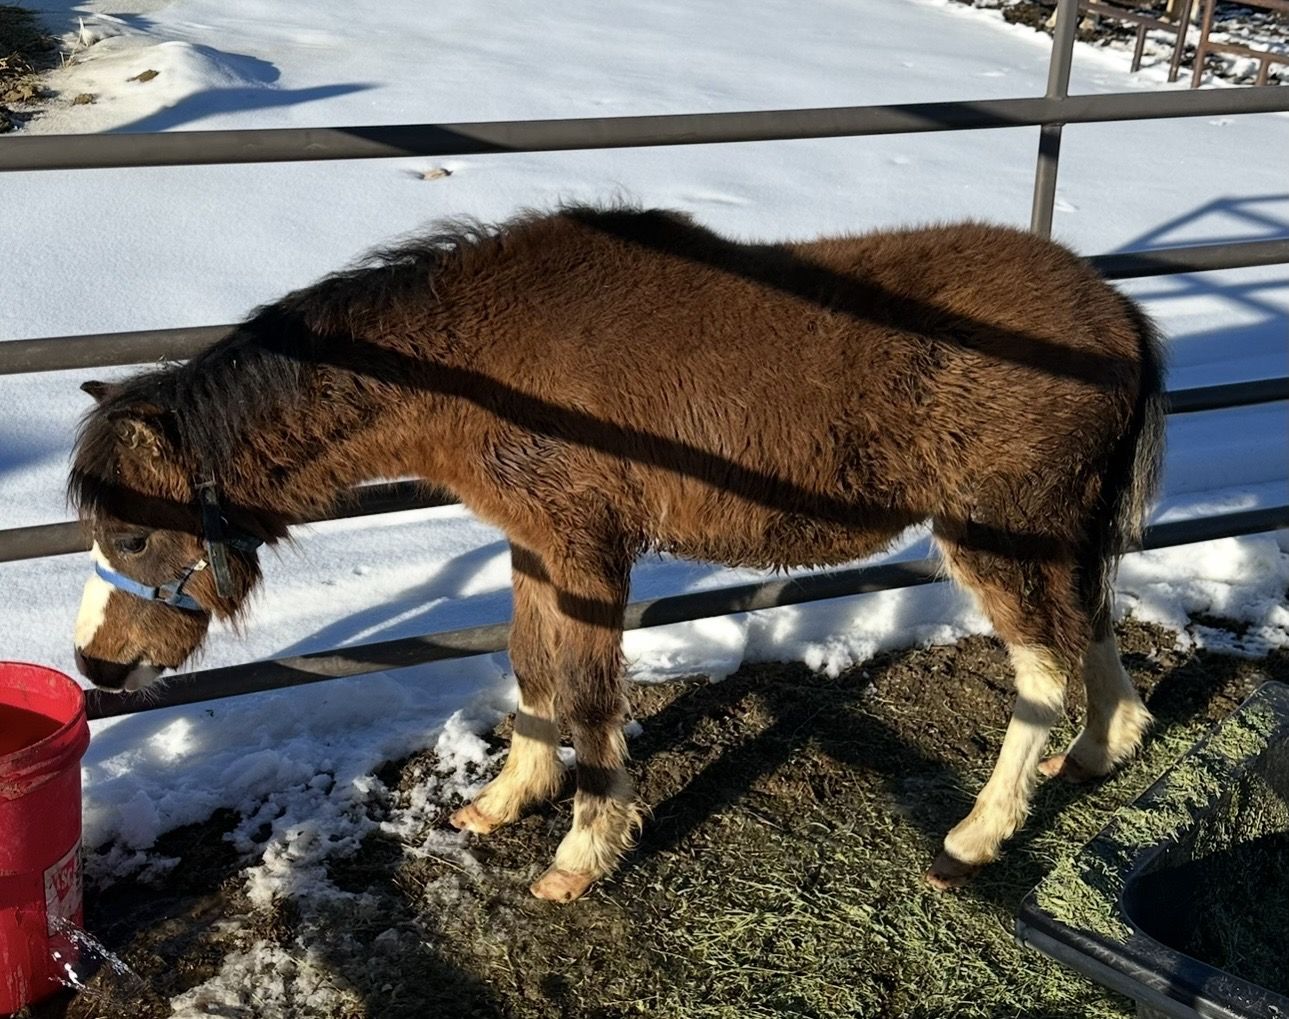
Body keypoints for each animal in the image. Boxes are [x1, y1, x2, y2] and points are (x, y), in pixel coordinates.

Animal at [69, 205, 1165, 901]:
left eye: (131, 531)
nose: (94, 662)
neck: (477, 364)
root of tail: (1114, 312)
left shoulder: (588, 548)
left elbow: (592, 695)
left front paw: (581, 852)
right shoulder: (534, 545)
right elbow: (531, 666)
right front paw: (506, 799)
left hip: (998, 534)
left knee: (1041, 665)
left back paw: (976, 834)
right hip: (1060, 531)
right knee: (1091, 625)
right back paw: (1101, 747)